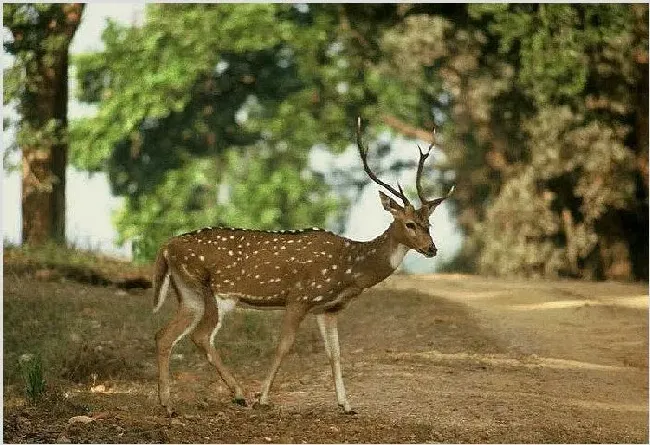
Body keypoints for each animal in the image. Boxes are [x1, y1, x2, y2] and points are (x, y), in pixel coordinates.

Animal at [151, 117, 450, 412]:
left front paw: (346, 404)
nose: (432, 249)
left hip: (189, 293)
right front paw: (263, 398)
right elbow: (284, 345)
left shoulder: (328, 308)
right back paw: (237, 396)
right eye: (410, 224)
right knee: (200, 336)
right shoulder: (299, 297)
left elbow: (335, 353)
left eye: (429, 224)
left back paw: (168, 403)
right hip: (215, 291)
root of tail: (167, 247)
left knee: (164, 334)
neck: (350, 269)